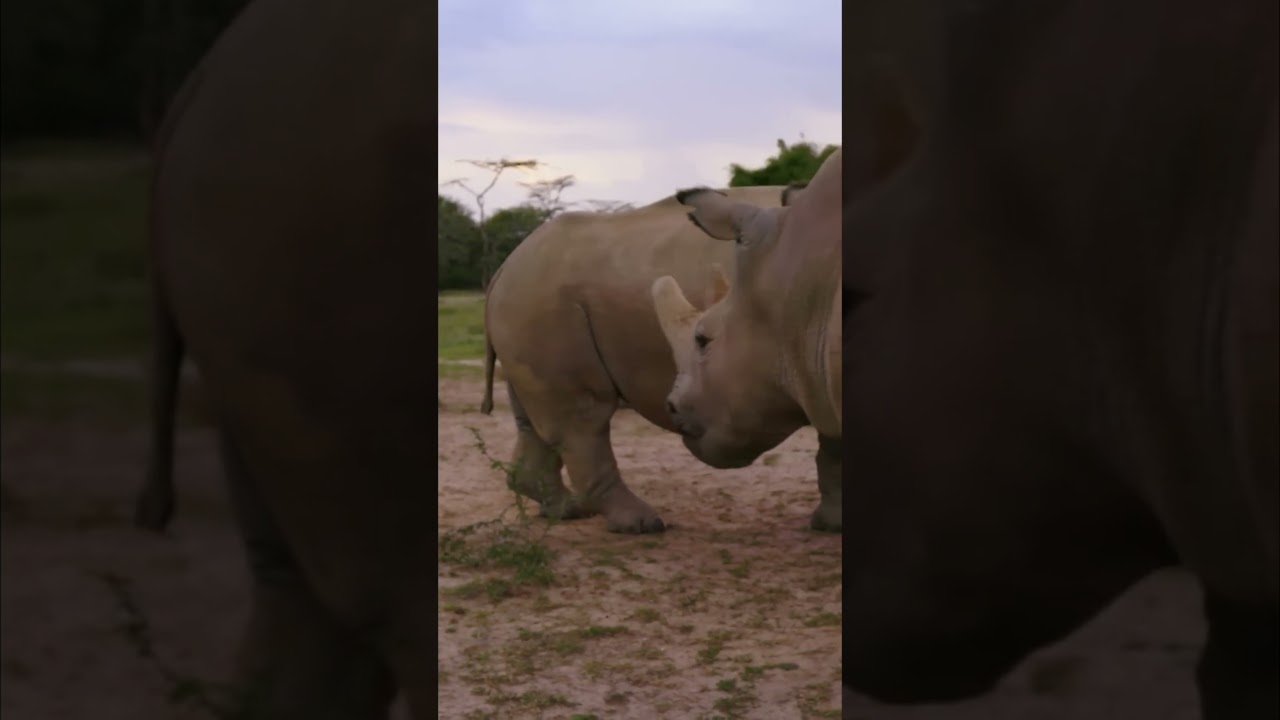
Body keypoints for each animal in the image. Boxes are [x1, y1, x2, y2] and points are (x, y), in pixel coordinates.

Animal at [479, 181, 843, 534]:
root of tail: (502, 268)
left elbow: (833, 443)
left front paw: (831, 524)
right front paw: (832, 525)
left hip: (528, 297)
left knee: (536, 419)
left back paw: (566, 512)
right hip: (542, 300)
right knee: (584, 417)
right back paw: (640, 525)